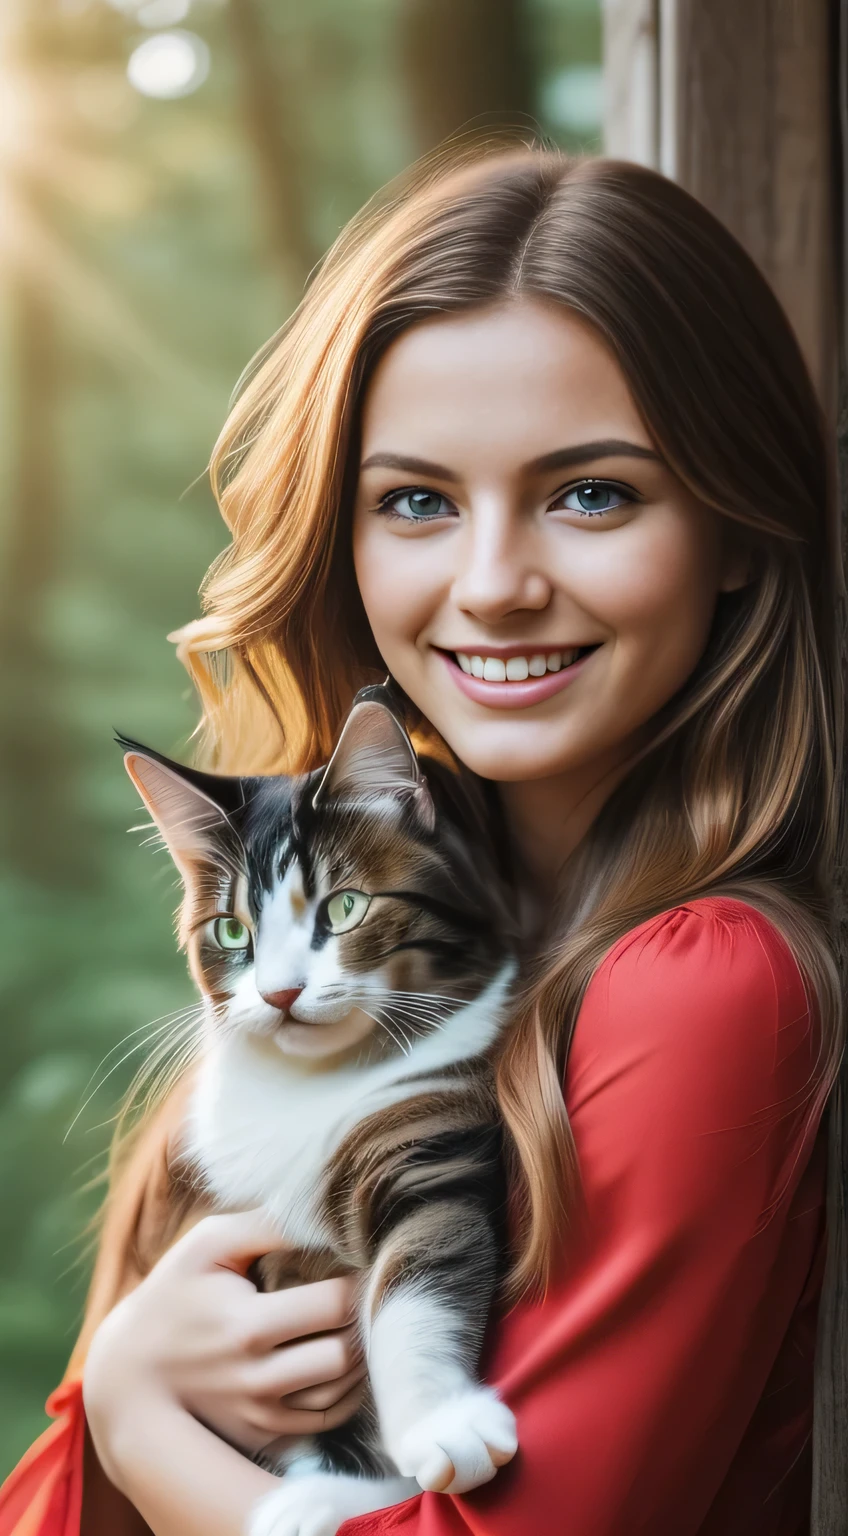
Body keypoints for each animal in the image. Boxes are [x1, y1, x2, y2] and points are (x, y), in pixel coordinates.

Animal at [119, 688, 516, 1536]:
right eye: (231, 929)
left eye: (345, 907)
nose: (279, 993)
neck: (309, 1086)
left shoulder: (427, 1138)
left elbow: (417, 1280)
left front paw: (441, 1423)